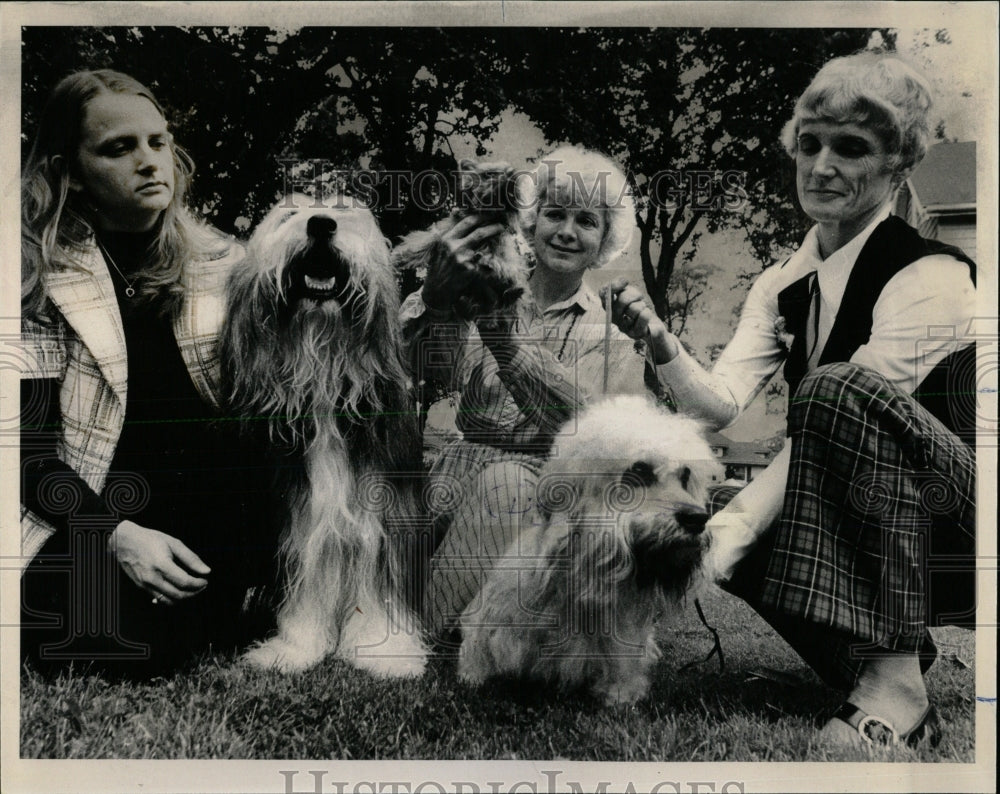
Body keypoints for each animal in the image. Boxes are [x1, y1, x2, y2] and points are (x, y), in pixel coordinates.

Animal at [221, 195, 428, 676]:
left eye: (343, 209)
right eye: (289, 214)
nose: (320, 224)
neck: (325, 373)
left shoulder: (383, 513)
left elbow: (379, 589)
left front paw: (385, 651)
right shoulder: (297, 515)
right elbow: (304, 589)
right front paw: (294, 650)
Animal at [390, 158, 532, 318]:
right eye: (490, 174)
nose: (512, 173)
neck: (490, 213)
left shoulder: (499, 241)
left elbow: (503, 259)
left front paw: (493, 263)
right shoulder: (445, 231)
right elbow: (423, 242)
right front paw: (398, 256)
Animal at [458, 396, 724, 704]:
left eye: (685, 476)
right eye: (639, 471)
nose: (698, 519)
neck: (582, 581)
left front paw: (621, 696)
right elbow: (480, 648)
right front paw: (473, 676)